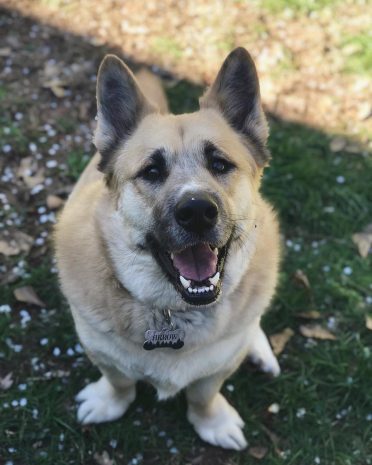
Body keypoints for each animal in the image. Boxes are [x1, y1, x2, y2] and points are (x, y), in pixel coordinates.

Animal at [55, 48, 280, 450]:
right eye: (151, 171)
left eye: (220, 164)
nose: (197, 212)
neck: (173, 312)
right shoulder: (99, 349)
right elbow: (119, 381)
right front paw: (109, 402)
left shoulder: (220, 364)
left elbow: (204, 393)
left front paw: (212, 422)